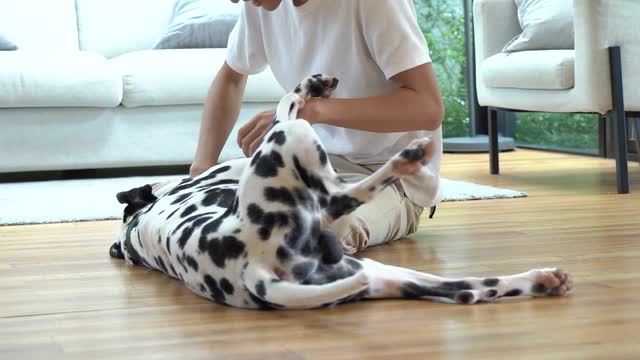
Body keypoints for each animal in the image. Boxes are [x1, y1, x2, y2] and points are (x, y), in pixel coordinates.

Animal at [110, 74, 576, 310]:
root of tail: (253, 270)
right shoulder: (280, 132)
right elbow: (287, 102)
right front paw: (313, 86)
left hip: (382, 275)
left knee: (472, 289)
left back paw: (541, 279)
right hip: (294, 143)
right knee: (338, 190)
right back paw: (412, 163)